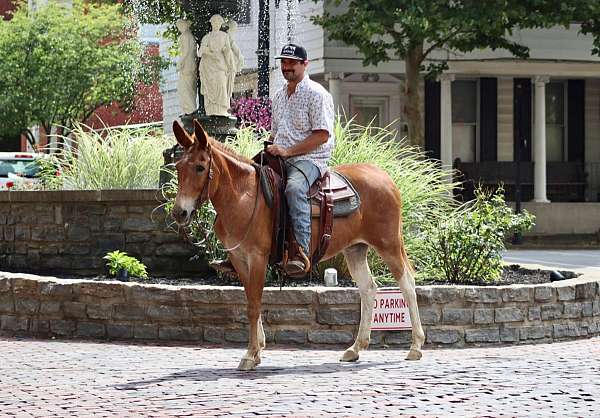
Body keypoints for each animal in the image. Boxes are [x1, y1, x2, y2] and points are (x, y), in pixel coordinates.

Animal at [171, 119, 424, 370]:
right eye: (178, 167)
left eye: (200, 167)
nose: (179, 213)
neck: (243, 196)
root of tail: (384, 176)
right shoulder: (239, 258)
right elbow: (251, 300)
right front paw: (258, 349)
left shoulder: (257, 257)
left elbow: (254, 305)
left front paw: (251, 354)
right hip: (355, 249)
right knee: (368, 289)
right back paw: (355, 348)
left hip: (388, 244)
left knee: (407, 284)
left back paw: (415, 346)